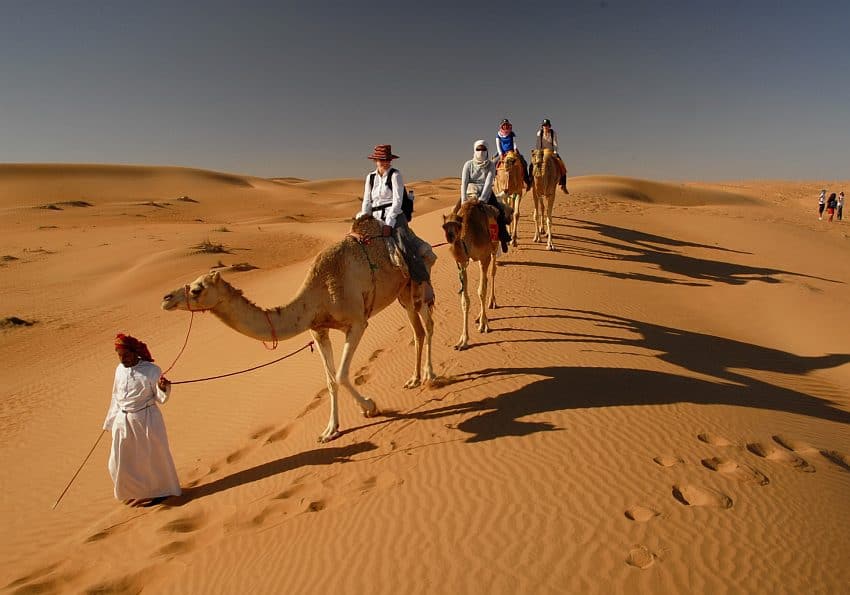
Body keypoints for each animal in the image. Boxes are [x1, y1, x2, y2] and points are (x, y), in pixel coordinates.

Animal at [160, 215, 436, 442]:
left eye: (197, 289)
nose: (166, 298)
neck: (319, 292)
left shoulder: (357, 322)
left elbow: (341, 375)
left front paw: (369, 406)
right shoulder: (318, 330)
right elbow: (330, 380)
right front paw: (330, 430)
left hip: (418, 282)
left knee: (429, 325)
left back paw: (431, 376)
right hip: (402, 293)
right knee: (418, 330)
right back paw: (414, 379)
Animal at [442, 199, 511, 350]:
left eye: (458, 225)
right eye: (444, 226)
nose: (450, 237)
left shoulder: (484, 257)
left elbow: (481, 291)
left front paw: (484, 325)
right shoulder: (462, 263)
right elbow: (465, 300)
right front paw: (463, 341)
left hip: (494, 246)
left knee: (492, 273)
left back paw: (491, 303)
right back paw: (479, 316)